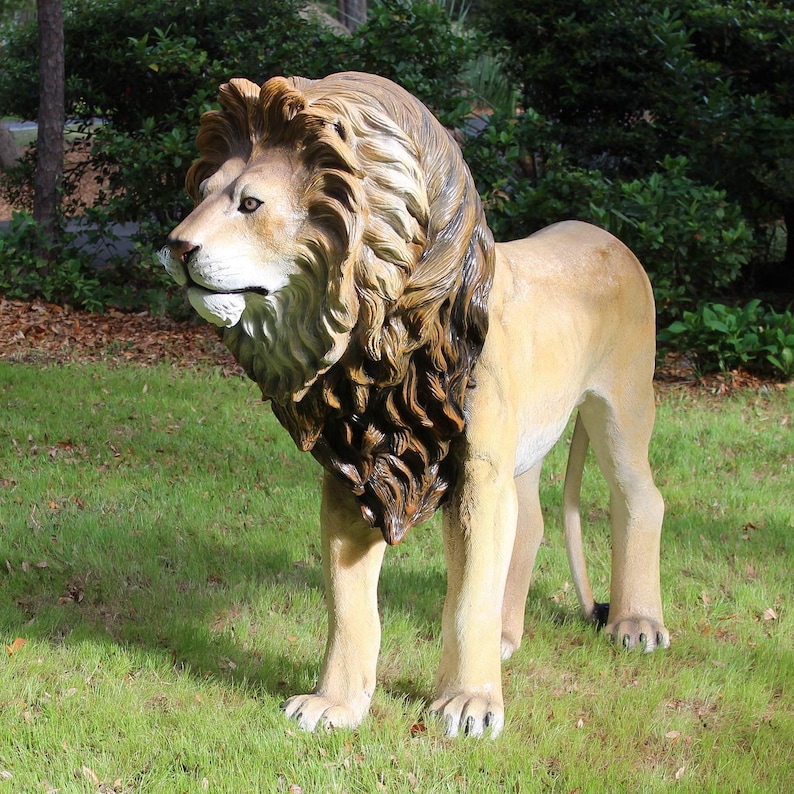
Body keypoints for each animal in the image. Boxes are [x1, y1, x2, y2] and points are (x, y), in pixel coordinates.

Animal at [160, 72, 669, 738]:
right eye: (203, 193)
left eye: (250, 204)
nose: (175, 247)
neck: (379, 338)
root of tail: (608, 236)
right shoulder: (356, 470)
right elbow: (348, 603)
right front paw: (335, 704)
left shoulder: (478, 472)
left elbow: (469, 594)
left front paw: (470, 703)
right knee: (531, 525)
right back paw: (506, 639)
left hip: (621, 408)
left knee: (641, 498)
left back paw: (637, 625)